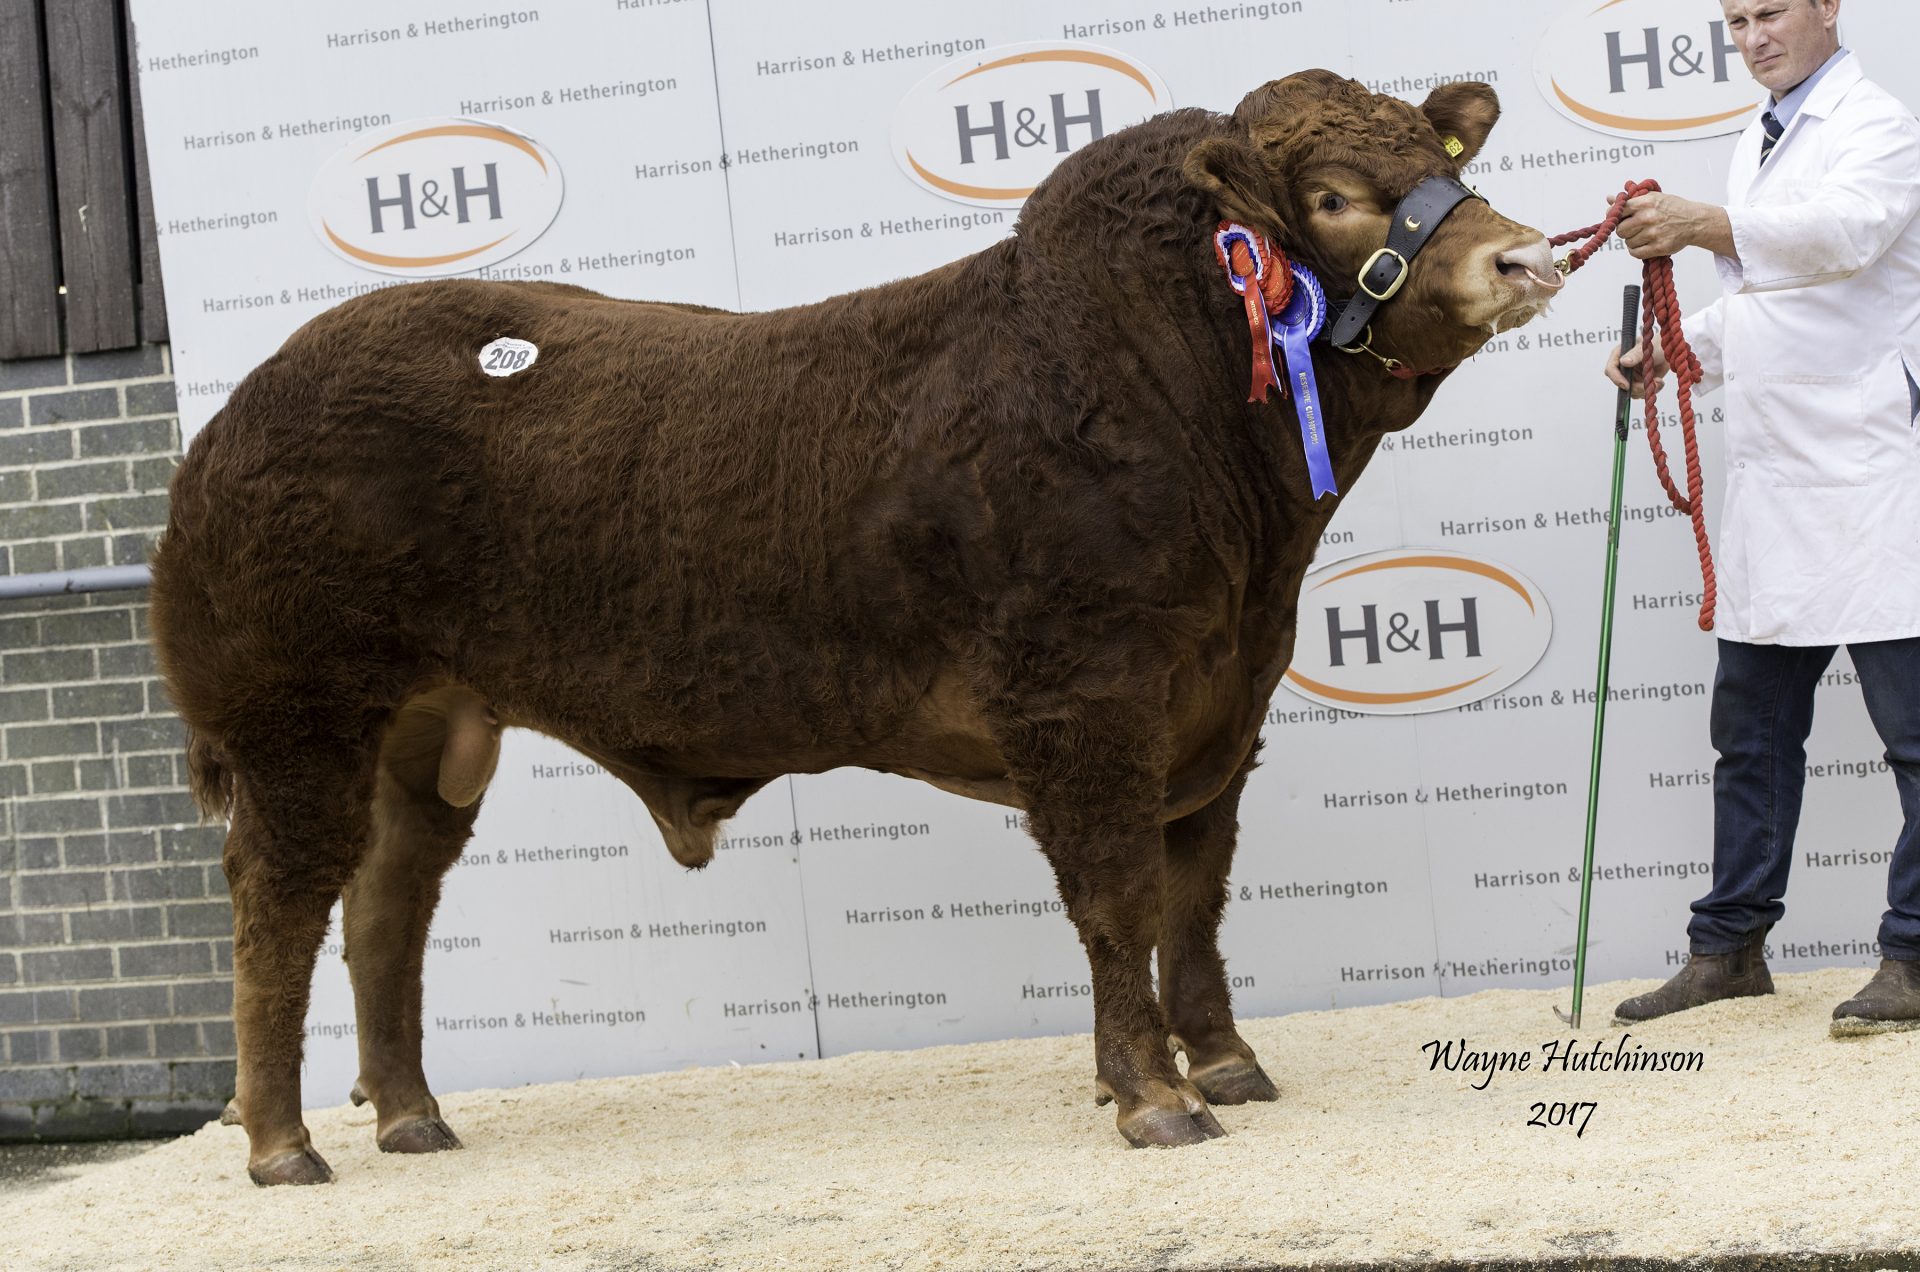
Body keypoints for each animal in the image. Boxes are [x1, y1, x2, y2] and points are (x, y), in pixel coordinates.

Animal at [149, 70, 1560, 1185]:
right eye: (1334, 195)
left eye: (1441, 164)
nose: (1526, 255)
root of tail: (240, 414)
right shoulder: (1085, 697)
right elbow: (1118, 896)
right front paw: (1154, 1098)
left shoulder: (1226, 701)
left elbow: (1195, 893)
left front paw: (1223, 1064)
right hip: (297, 721)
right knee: (277, 908)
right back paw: (283, 1146)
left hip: (431, 732)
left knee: (387, 906)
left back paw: (411, 1119)